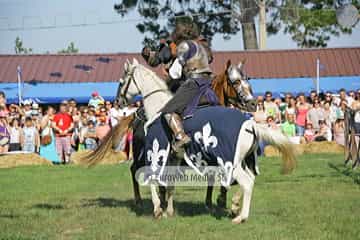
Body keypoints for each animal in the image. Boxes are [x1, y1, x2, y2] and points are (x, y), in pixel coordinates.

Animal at [121, 58, 296, 223]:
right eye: (236, 81)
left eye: (122, 81)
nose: (120, 100)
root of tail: (250, 125)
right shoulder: (173, 157)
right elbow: (169, 183)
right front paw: (168, 211)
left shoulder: (156, 153)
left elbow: (153, 178)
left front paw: (158, 209)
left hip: (232, 163)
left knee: (247, 182)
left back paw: (240, 217)